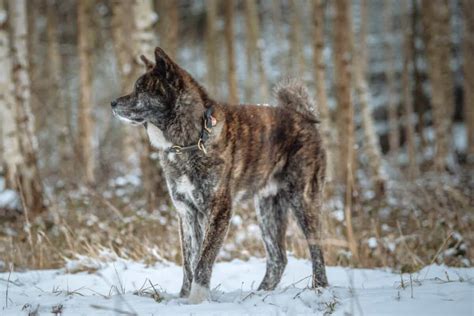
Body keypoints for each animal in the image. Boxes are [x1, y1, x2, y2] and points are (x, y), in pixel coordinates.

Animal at [111, 47, 328, 304]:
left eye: (141, 88)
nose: (113, 102)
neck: (189, 141)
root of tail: (303, 117)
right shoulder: (187, 213)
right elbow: (189, 262)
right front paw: (183, 297)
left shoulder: (219, 210)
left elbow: (203, 261)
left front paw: (197, 299)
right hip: (267, 208)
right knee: (278, 258)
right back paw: (259, 295)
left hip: (302, 199)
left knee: (317, 248)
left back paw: (320, 289)